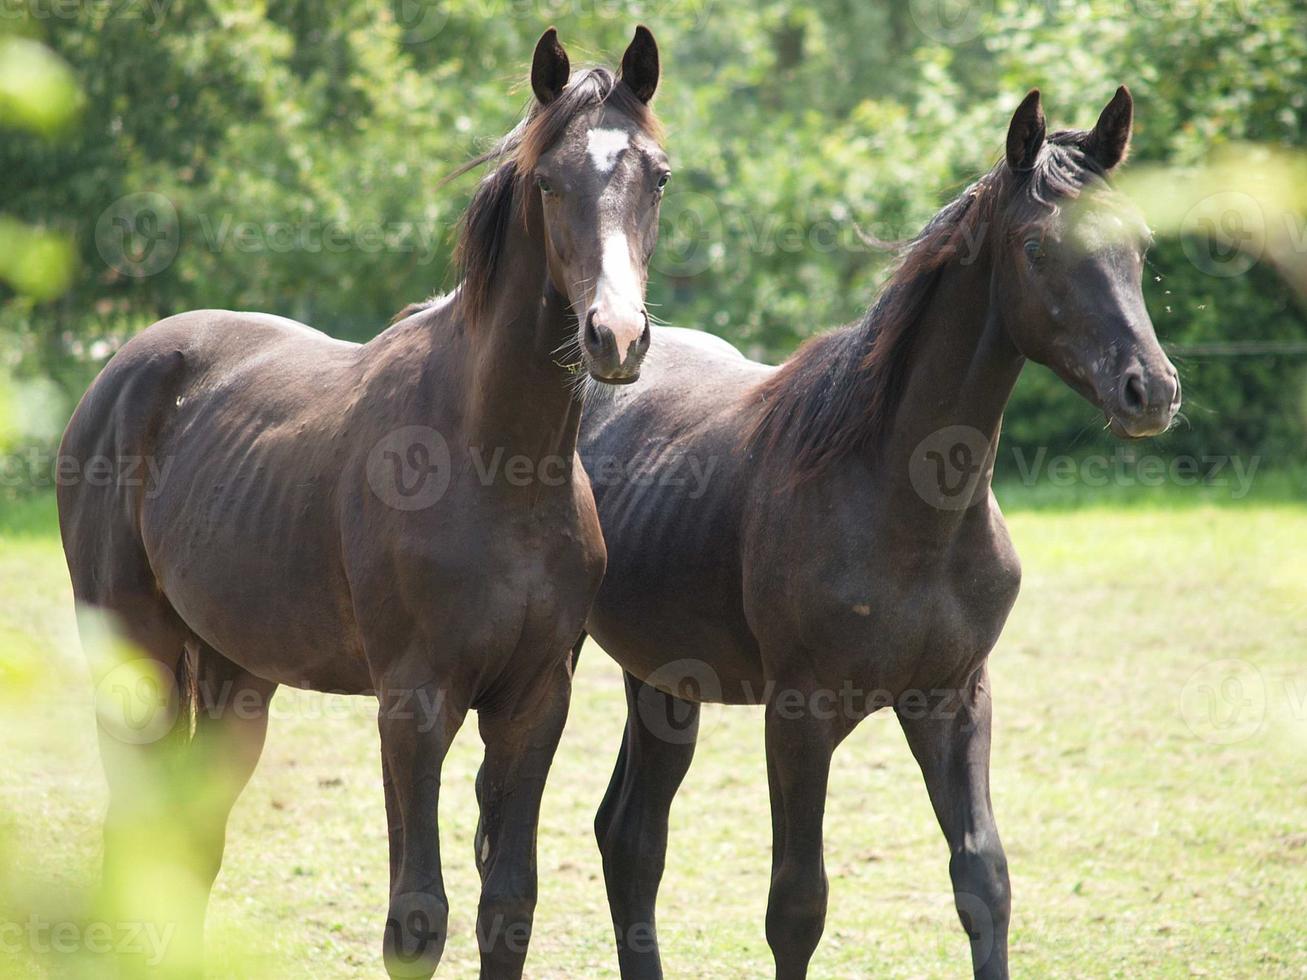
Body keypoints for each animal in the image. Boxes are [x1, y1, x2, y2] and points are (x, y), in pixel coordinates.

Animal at [58, 26, 674, 977]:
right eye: (547, 181)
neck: (497, 464)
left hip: (237, 675)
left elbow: (509, 904)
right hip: (137, 659)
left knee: (191, 837)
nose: (615, 336)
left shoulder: (535, 703)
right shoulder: (412, 708)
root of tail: (120, 372)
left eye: (658, 176)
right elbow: (416, 919)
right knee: (136, 831)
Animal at [577, 86, 1181, 980]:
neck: (907, 509)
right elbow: (796, 904)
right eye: (1037, 244)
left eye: (1138, 241)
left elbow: (983, 881)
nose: (1150, 390)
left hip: (661, 679)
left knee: (629, 837)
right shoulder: (798, 716)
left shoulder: (952, 699)